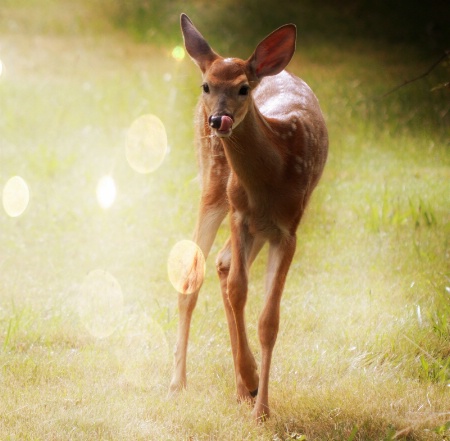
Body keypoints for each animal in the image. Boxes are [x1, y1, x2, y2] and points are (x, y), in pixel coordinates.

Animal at [169, 12, 326, 420]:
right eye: (206, 84)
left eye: (243, 88)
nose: (217, 120)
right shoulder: (239, 213)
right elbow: (239, 290)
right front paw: (255, 388)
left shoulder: (288, 230)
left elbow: (269, 320)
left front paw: (260, 407)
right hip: (213, 185)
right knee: (196, 273)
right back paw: (180, 383)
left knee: (220, 263)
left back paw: (243, 387)